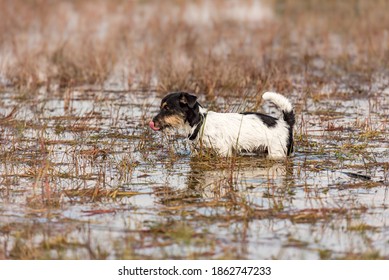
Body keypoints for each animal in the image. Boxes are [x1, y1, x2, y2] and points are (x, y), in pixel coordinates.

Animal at [149, 91, 294, 159]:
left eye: (167, 108)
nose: (152, 122)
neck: (200, 122)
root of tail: (284, 123)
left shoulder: (223, 151)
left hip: (276, 152)